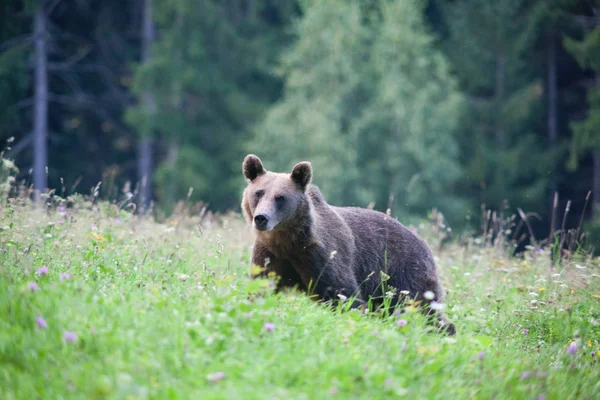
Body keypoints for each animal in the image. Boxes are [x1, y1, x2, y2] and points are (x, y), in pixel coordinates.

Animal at [241, 154, 458, 334]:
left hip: (404, 271)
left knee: (422, 306)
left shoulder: (322, 256)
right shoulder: (270, 256)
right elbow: (261, 287)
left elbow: (344, 294)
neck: (287, 241)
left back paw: (444, 329)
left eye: (280, 197)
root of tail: (423, 243)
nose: (262, 218)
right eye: (259, 193)